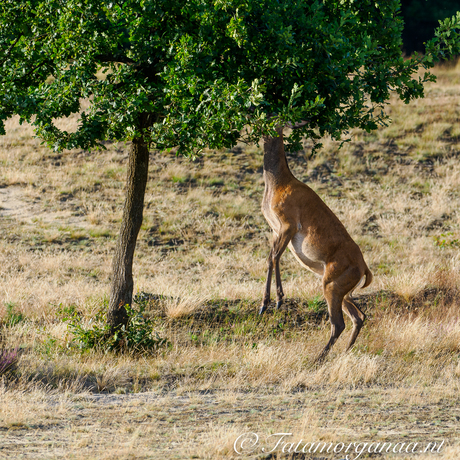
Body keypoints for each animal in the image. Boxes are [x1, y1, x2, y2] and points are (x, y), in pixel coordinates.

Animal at [260, 126, 372, 362]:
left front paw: (273, 302)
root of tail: (364, 267)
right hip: (342, 294)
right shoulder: (275, 230)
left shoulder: (287, 227)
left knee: (338, 324)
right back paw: (343, 354)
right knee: (359, 317)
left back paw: (318, 358)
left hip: (330, 289)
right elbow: (271, 258)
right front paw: (267, 303)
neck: (281, 182)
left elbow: (274, 258)